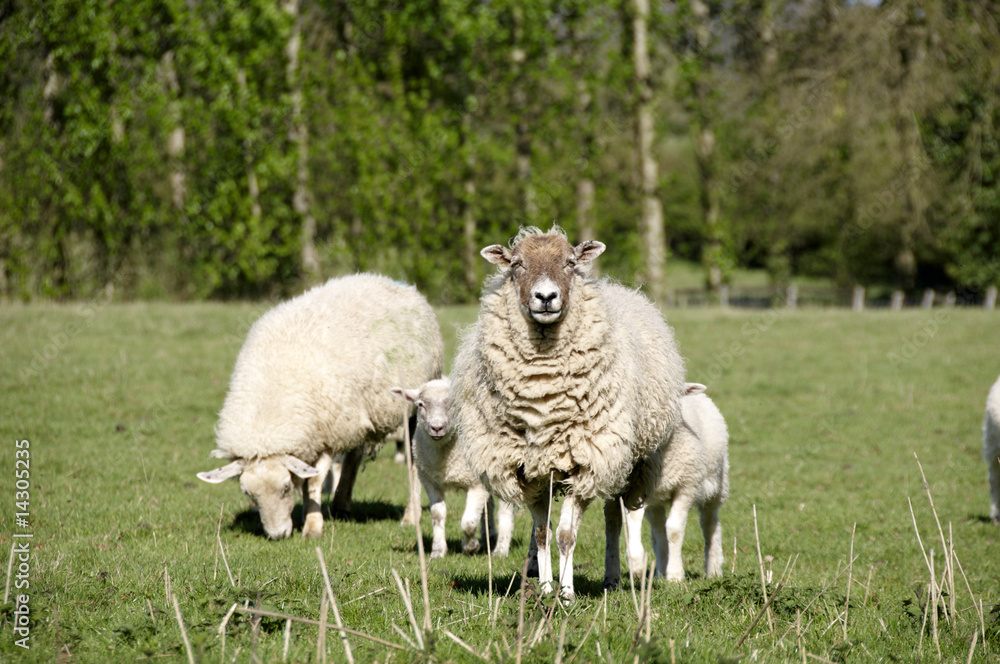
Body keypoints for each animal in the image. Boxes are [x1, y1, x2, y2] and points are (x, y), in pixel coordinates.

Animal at [197, 273, 443, 540]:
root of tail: (392, 281)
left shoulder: (324, 436)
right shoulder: (323, 431)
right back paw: (341, 504)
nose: (278, 535)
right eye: (248, 494)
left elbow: (313, 483)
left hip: (411, 408)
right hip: (355, 412)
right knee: (354, 456)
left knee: (413, 462)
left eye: (285, 488)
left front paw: (312, 526)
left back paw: (410, 517)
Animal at [390, 377, 515, 558]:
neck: (446, 460)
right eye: (420, 404)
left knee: (505, 509)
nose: (436, 427)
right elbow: (437, 514)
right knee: (488, 506)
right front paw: (438, 551)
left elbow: (468, 522)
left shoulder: (476, 484)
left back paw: (501, 550)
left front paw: (471, 546)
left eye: (453, 404)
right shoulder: (430, 481)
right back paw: (489, 536)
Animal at [452, 226, 686, 599]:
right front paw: (546, 588)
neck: (542, 396)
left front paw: (566, 592)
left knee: (612, 518)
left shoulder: (587, 462)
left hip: (626, 461)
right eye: (517, 264)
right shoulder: (528, 469)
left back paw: (611, 578)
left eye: (570, 263)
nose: (546, 297)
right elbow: (542, 533)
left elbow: (565, 535)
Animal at [620, 383, 730, 582]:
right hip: (655, 501)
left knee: (710, 524)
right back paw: (660, 571)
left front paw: (675, 575)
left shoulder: (687, 487)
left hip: (717, 486)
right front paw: (636, 566)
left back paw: (713, 569)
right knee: (658, 530)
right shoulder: (635, 491)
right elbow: (633, 522)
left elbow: (674, 529)